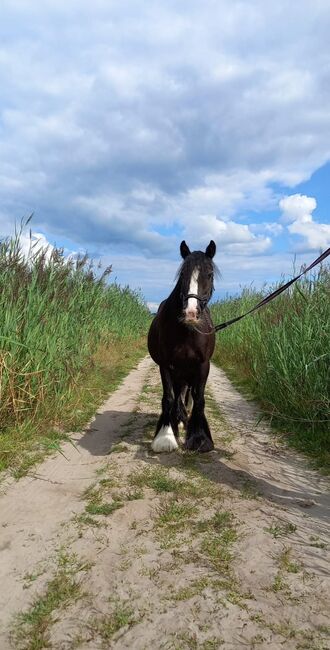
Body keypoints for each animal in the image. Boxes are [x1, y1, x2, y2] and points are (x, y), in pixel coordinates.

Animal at [148, 237, 218, 450]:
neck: (187, 331)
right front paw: (165, 437)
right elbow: (169, 398)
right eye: (182, 274)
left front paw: (200, 438)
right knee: (178, 393)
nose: (190, 313)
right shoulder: (166, 365)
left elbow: (199, 399)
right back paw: (178, 420)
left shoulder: (203, 365)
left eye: (210, 274)